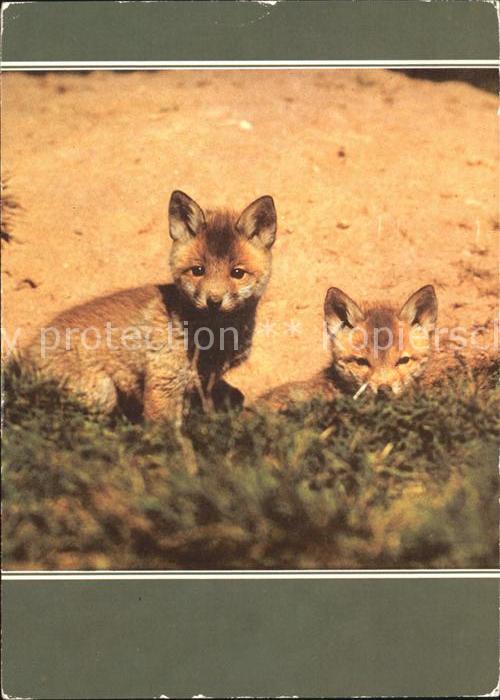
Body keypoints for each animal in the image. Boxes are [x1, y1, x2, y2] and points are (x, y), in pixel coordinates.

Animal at [24, 190, 277, 424]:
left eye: (237, 273)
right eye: (198, 270)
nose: (214, 301)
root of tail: (25, 355)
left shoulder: (203, 384)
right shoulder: (162, 384)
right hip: (101, 394)